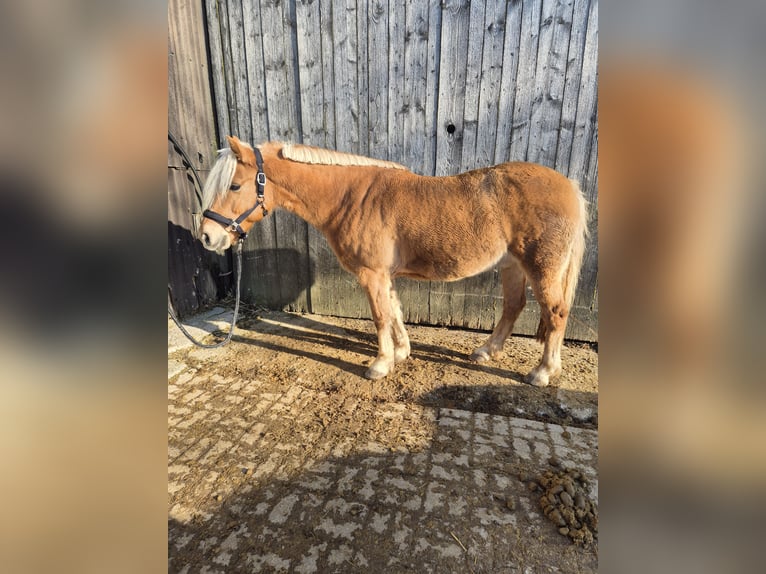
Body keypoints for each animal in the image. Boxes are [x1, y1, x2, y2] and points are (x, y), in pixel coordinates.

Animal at [198, 136, 588, 388]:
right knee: (513, 306)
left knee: (556, 313)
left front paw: (380, 364)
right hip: (512, 266)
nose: (207, 237)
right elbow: (395, 310)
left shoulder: (371, 273)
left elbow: (381, 316)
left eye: (234, 185)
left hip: (541, 268)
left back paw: (542, 372)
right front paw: (401, 352)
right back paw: (486, 351)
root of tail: (569, 186)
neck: (350, 197)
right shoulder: (383, 275)